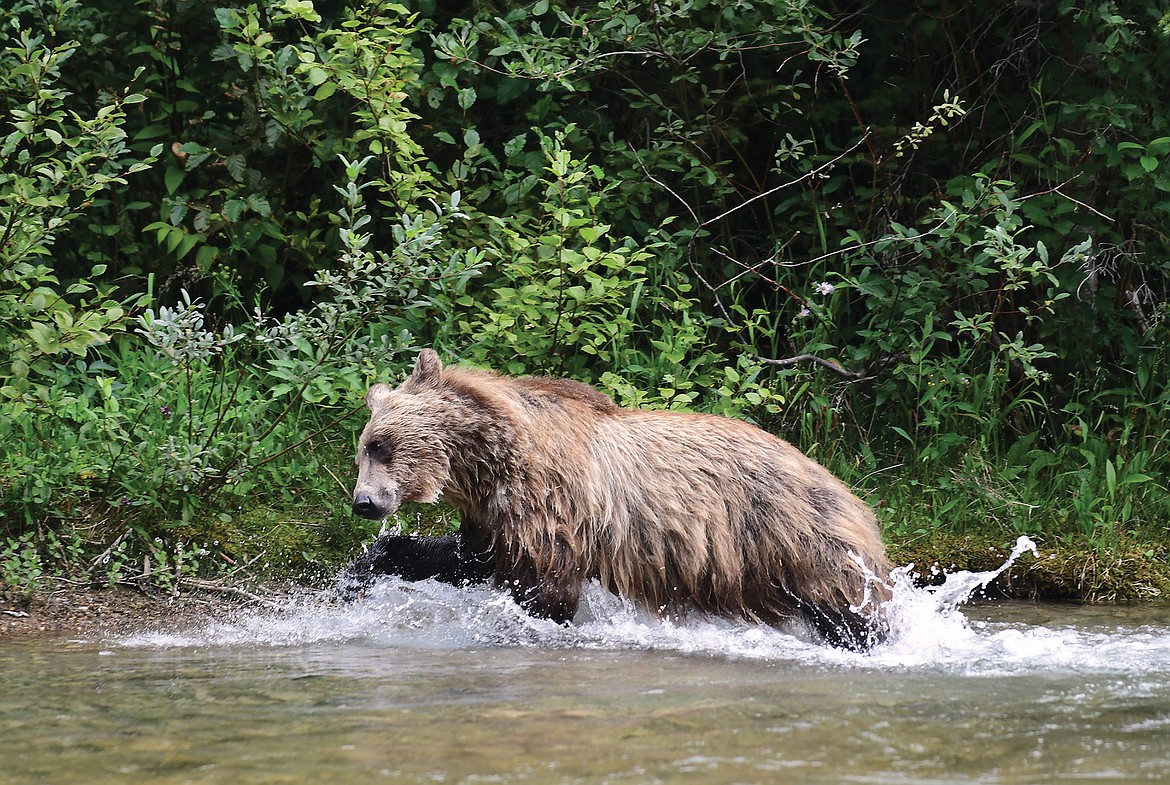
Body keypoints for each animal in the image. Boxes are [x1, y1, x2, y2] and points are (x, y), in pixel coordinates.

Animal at [351, 353, 889, 645]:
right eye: (363, 448)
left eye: (379, 444)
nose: (363, 502)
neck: (486, 459)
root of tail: (845, 487)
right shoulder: (494, 516)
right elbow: (463, 558)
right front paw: (358, 575)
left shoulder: (548, 502)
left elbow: (544, 588)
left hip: (796, 539)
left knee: (851, 612)